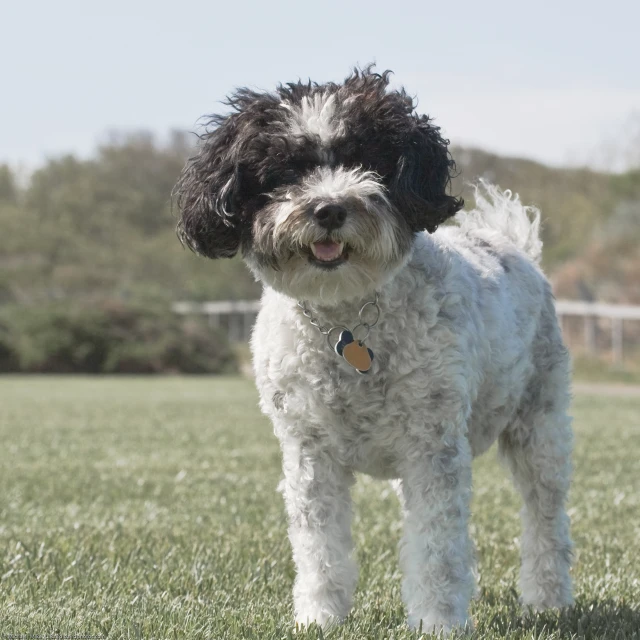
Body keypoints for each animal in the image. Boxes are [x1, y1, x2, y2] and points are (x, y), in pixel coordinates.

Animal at [175, 66, 576, 636]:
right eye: (286, 169)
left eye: (366, 159)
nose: (328, 208)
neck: (347, 320)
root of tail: (514, 244)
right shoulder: (309, 455)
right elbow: (319, 548)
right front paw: (319, 617)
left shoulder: (433, 450)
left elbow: (437, 549)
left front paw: (438, 621)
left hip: (538, 428)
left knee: (545, 519)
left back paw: (547, 598)